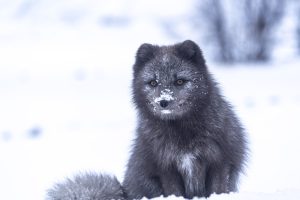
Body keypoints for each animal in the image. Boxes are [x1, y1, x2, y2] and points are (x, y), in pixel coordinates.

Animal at [47, 39, 248, 199]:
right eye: (153, 82)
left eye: (180, 81)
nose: (163, 102)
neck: (181, 133)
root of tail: (124, 192)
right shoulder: (165, 168)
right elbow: (173, 191)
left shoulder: (220, 162)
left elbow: (217, 189)